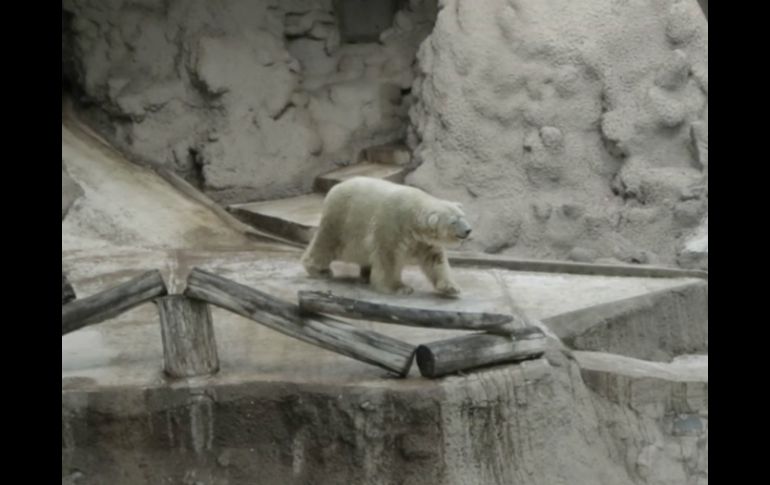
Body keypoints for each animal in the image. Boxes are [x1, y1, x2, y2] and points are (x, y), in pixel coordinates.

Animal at [298, 177, 468, 294]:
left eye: (463, 216)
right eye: (453, 221)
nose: (468, 230)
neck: (413, 216)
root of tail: (335, 187)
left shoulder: (423, 241)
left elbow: (435, 259)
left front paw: (451, 288)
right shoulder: (392, 225)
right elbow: (388, 256)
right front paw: (399, 287)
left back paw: (366, 275)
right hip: (340, 219)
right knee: (326, 244)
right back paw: (320, 270)